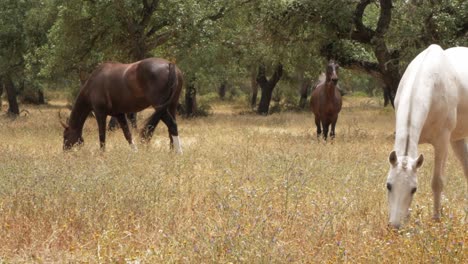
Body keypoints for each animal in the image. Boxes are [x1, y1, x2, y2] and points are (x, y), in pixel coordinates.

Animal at [386, 44, 468, 229]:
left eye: (413, 189)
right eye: (389, 185)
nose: (395, 226)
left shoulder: (442, 142)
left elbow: (437, 182)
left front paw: (436, 219)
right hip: (457, 140)